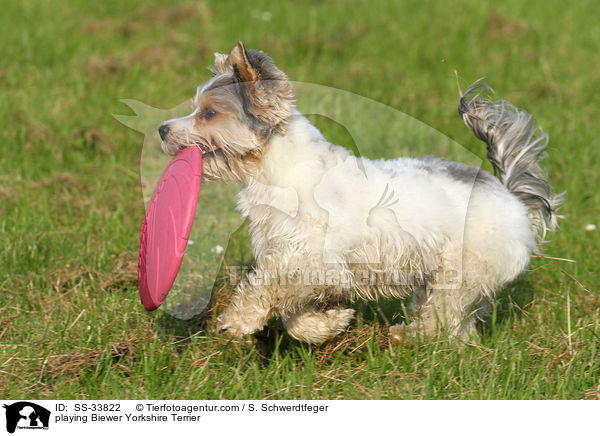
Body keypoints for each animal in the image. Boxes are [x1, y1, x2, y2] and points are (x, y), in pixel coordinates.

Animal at [157, 42, 560, 346]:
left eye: (208, 113)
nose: (162, 128)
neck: (278, 171)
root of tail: (513, 197)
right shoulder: (303, 261)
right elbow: (294, 316)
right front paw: (330, 323)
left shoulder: (314, 260)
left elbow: (269, 287)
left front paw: (238, 320)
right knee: (457, 325)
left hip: (462, 270)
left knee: (442, 318)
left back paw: (405, 335)